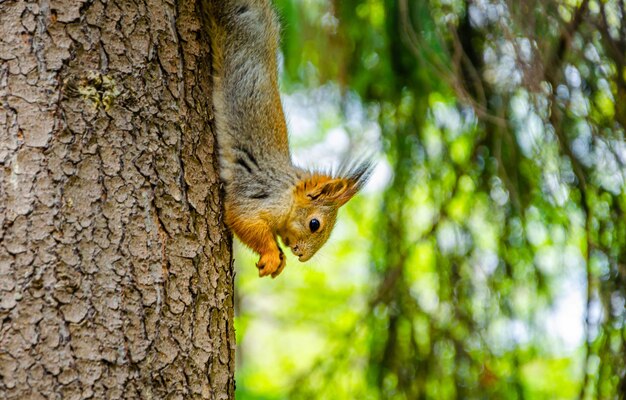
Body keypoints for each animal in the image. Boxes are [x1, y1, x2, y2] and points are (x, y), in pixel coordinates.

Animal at [207, 0, 370, 278]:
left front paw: (279, 259)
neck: (289, 189)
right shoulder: (260, 195)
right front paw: (272, 254)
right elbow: (242, 217)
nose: (302, 255)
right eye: (315, 224)